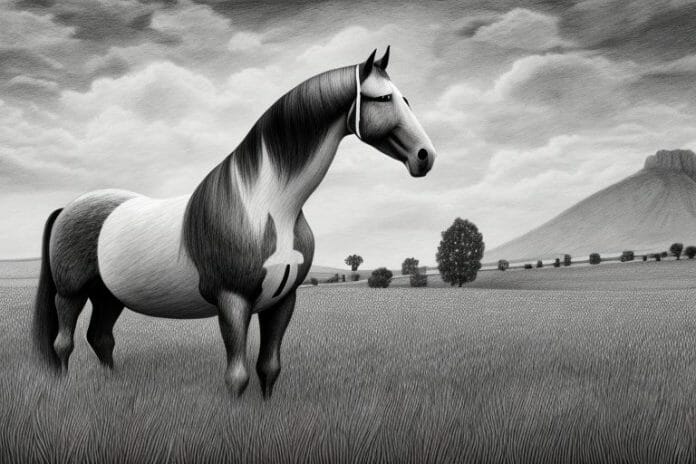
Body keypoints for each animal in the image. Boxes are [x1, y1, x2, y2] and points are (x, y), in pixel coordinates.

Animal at [33, 47, 436, 398]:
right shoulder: (233, 300)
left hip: (109, 295)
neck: (265, 207)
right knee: (64, 342)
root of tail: (68, 208)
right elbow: (237, 375)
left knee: (100, 338)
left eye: (406, 100)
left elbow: (268, 368)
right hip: (71, 292)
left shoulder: (282, 301)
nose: (425, 156)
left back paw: (112, 383)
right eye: (383, 98)